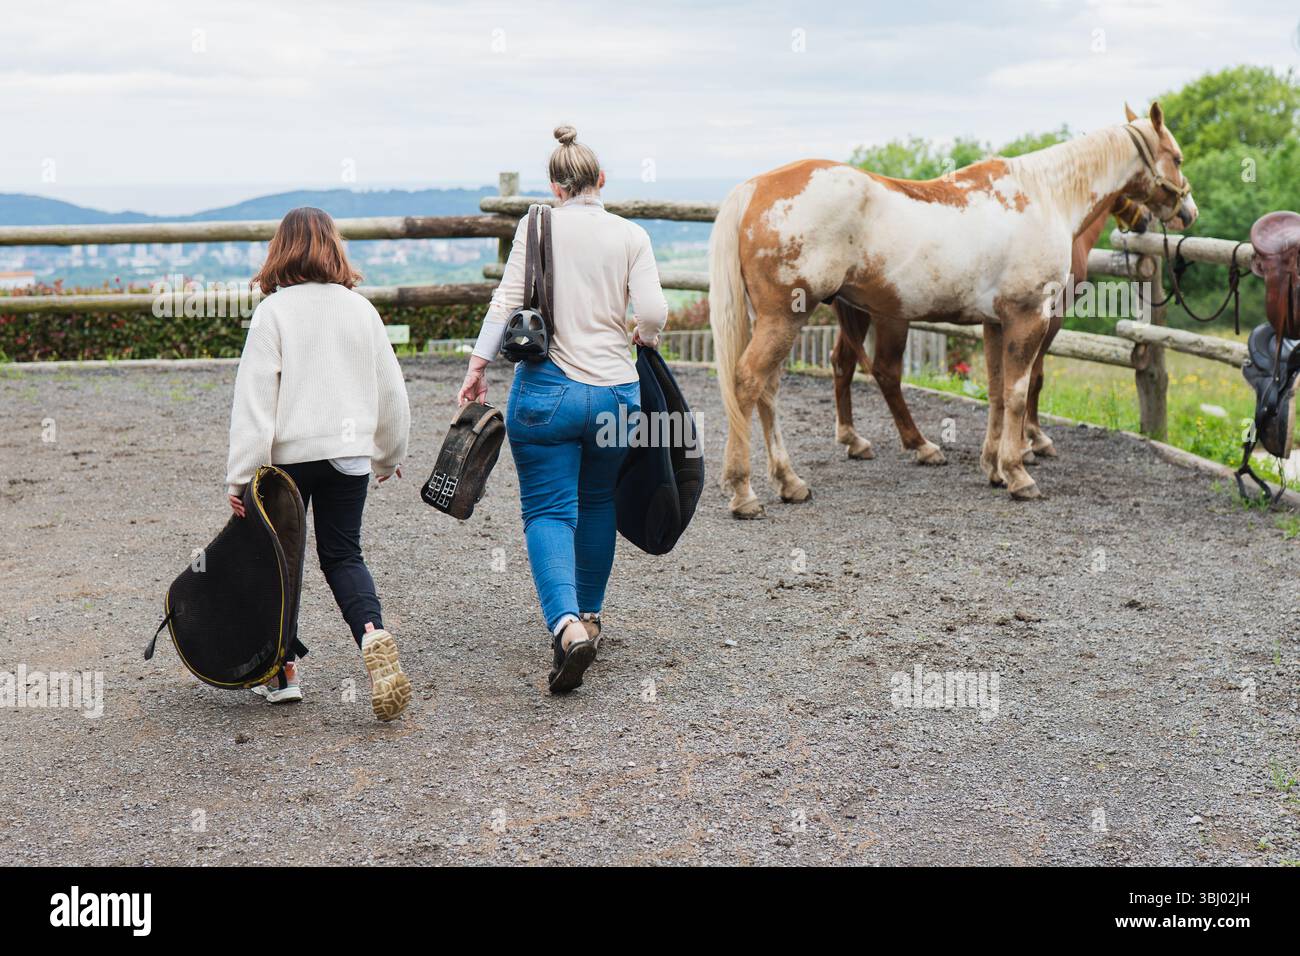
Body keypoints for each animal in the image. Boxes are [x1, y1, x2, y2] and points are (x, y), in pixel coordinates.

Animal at [828, 193, 1152, 466]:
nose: (1147, 218)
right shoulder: (1047, 317)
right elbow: (1033, 378)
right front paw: (1030, 442)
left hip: (859, 313)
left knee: (843, 361)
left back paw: (854, 440)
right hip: (890, 317)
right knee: (886, 371)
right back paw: (922, 445)